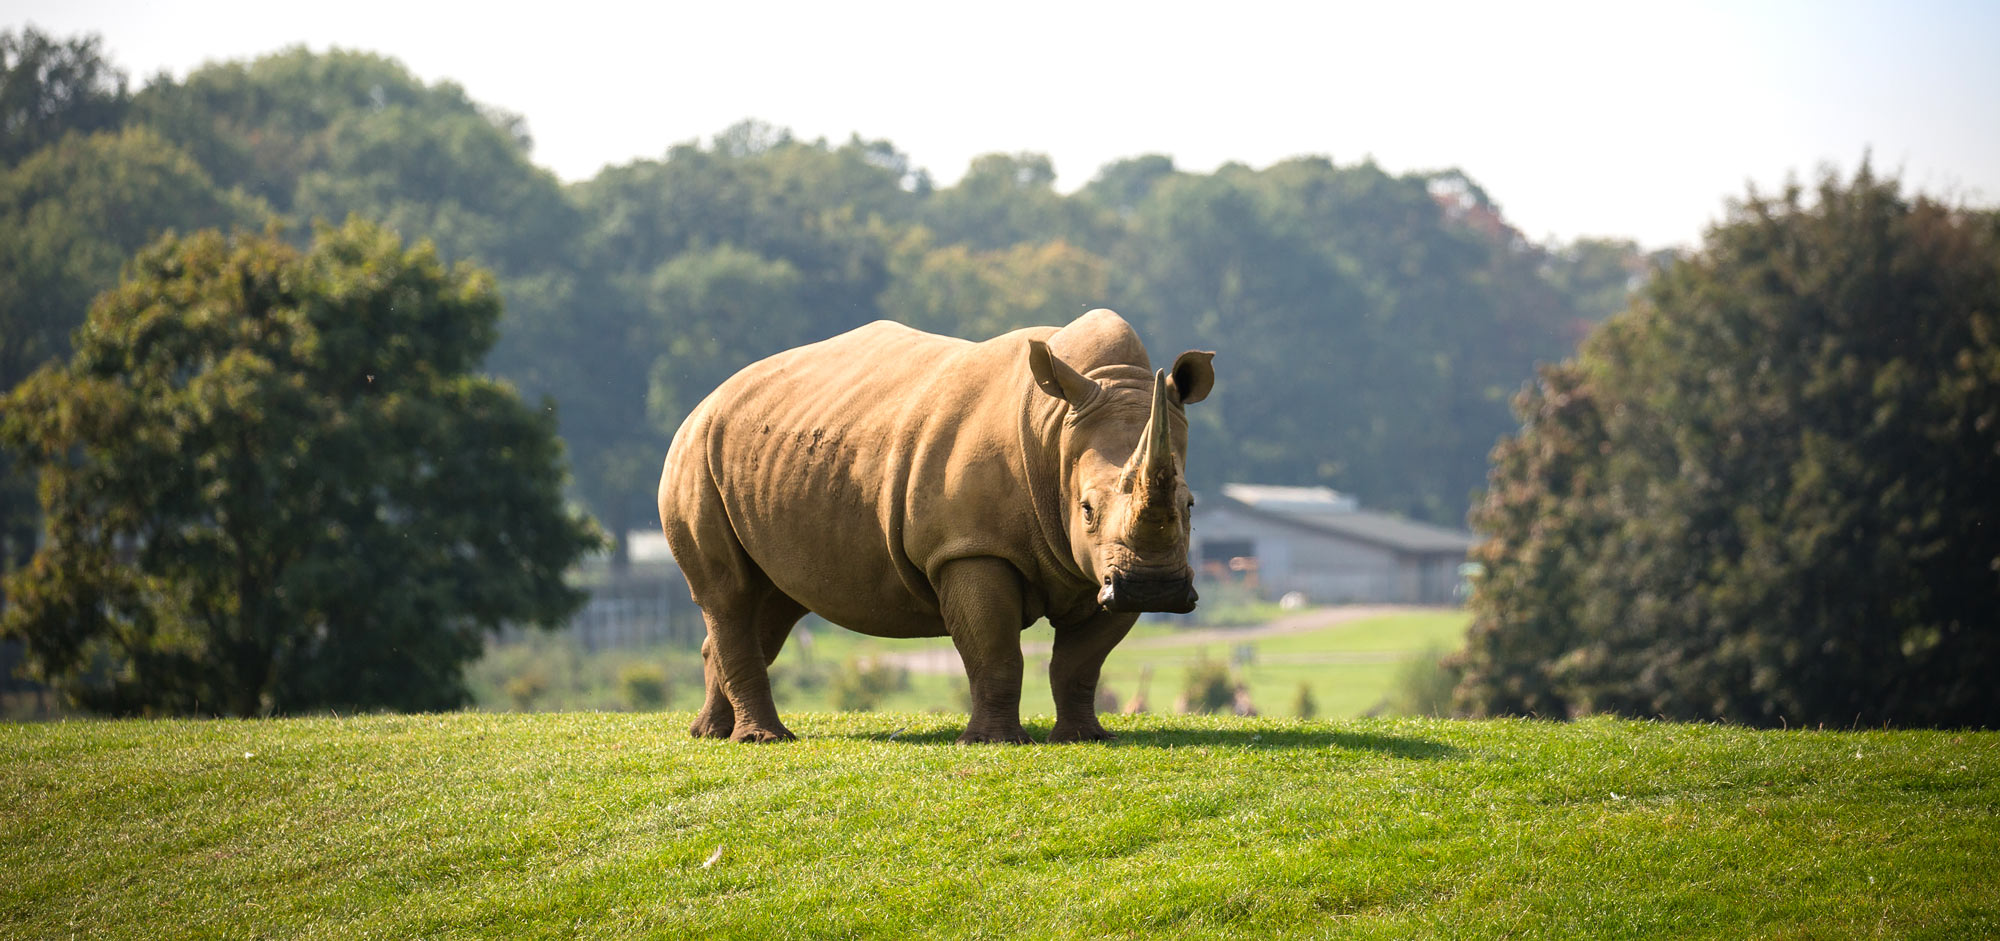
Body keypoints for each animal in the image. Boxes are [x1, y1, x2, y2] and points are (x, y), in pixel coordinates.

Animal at [664, 310, 1208, 740]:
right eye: (1087, 509)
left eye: (1190, 505)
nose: (1154, 589)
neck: (1054, 430)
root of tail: (708, 398)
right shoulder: (968, 547)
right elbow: (994, 649)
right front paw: (992, 743)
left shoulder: (1099, 569)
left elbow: (1081, 662)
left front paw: (1084, 738)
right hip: (695, 453)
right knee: (730, 595)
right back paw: (763, 739)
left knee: (775, 601)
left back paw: (710, 734)